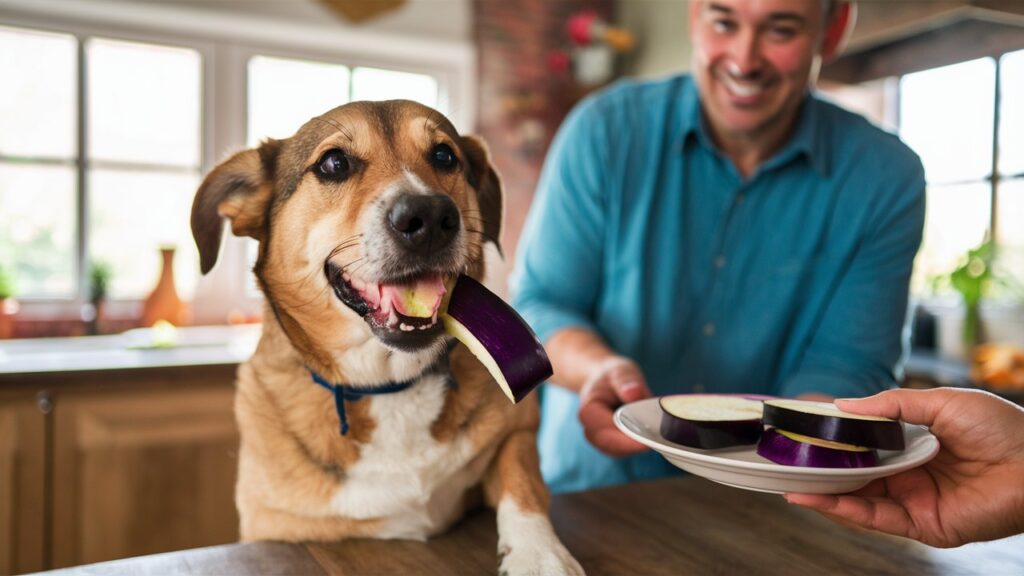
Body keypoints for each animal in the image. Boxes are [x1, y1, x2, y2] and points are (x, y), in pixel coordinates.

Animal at [188, 99, 581, 573]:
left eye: (445, 156)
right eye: (334, 163)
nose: (429, 218)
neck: (389, 385)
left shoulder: (517, 432)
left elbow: (522, 482)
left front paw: (540, 554)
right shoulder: (270, 523)